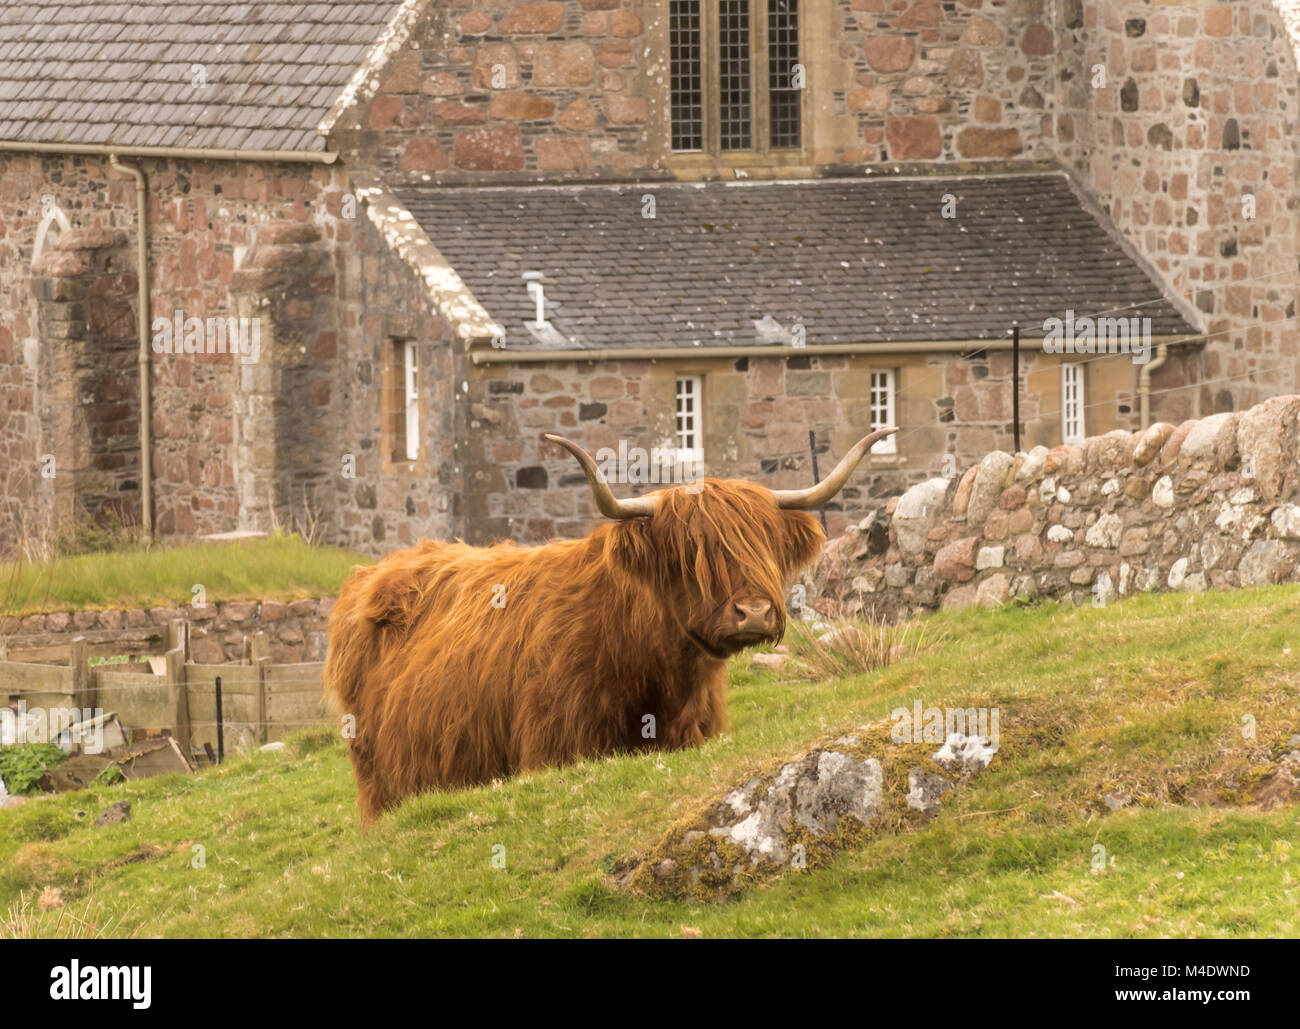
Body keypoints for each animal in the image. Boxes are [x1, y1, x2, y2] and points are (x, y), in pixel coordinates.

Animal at [321, 420, 899, 826]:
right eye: (690, 554)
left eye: (764, 545)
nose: (754, 612)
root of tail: (377, 574)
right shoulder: (553, 747)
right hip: (378, 781)